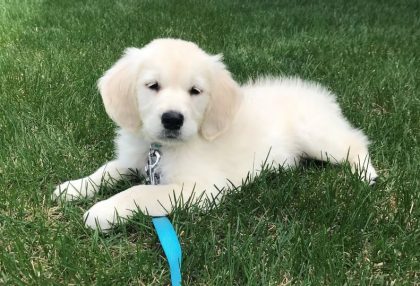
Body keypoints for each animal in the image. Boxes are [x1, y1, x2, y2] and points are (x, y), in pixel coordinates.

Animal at [52, 38, 378, 230]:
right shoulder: (134, 160)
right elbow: (106, 170)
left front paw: (103, 211)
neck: (162, 148)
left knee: (356, 142)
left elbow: (139, 191)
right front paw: (73, 188)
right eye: (152, 85)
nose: (173, 119)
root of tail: (321, 95)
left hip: (318, 136)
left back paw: (366, 173)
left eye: (195, 91)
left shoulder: (201, 188)